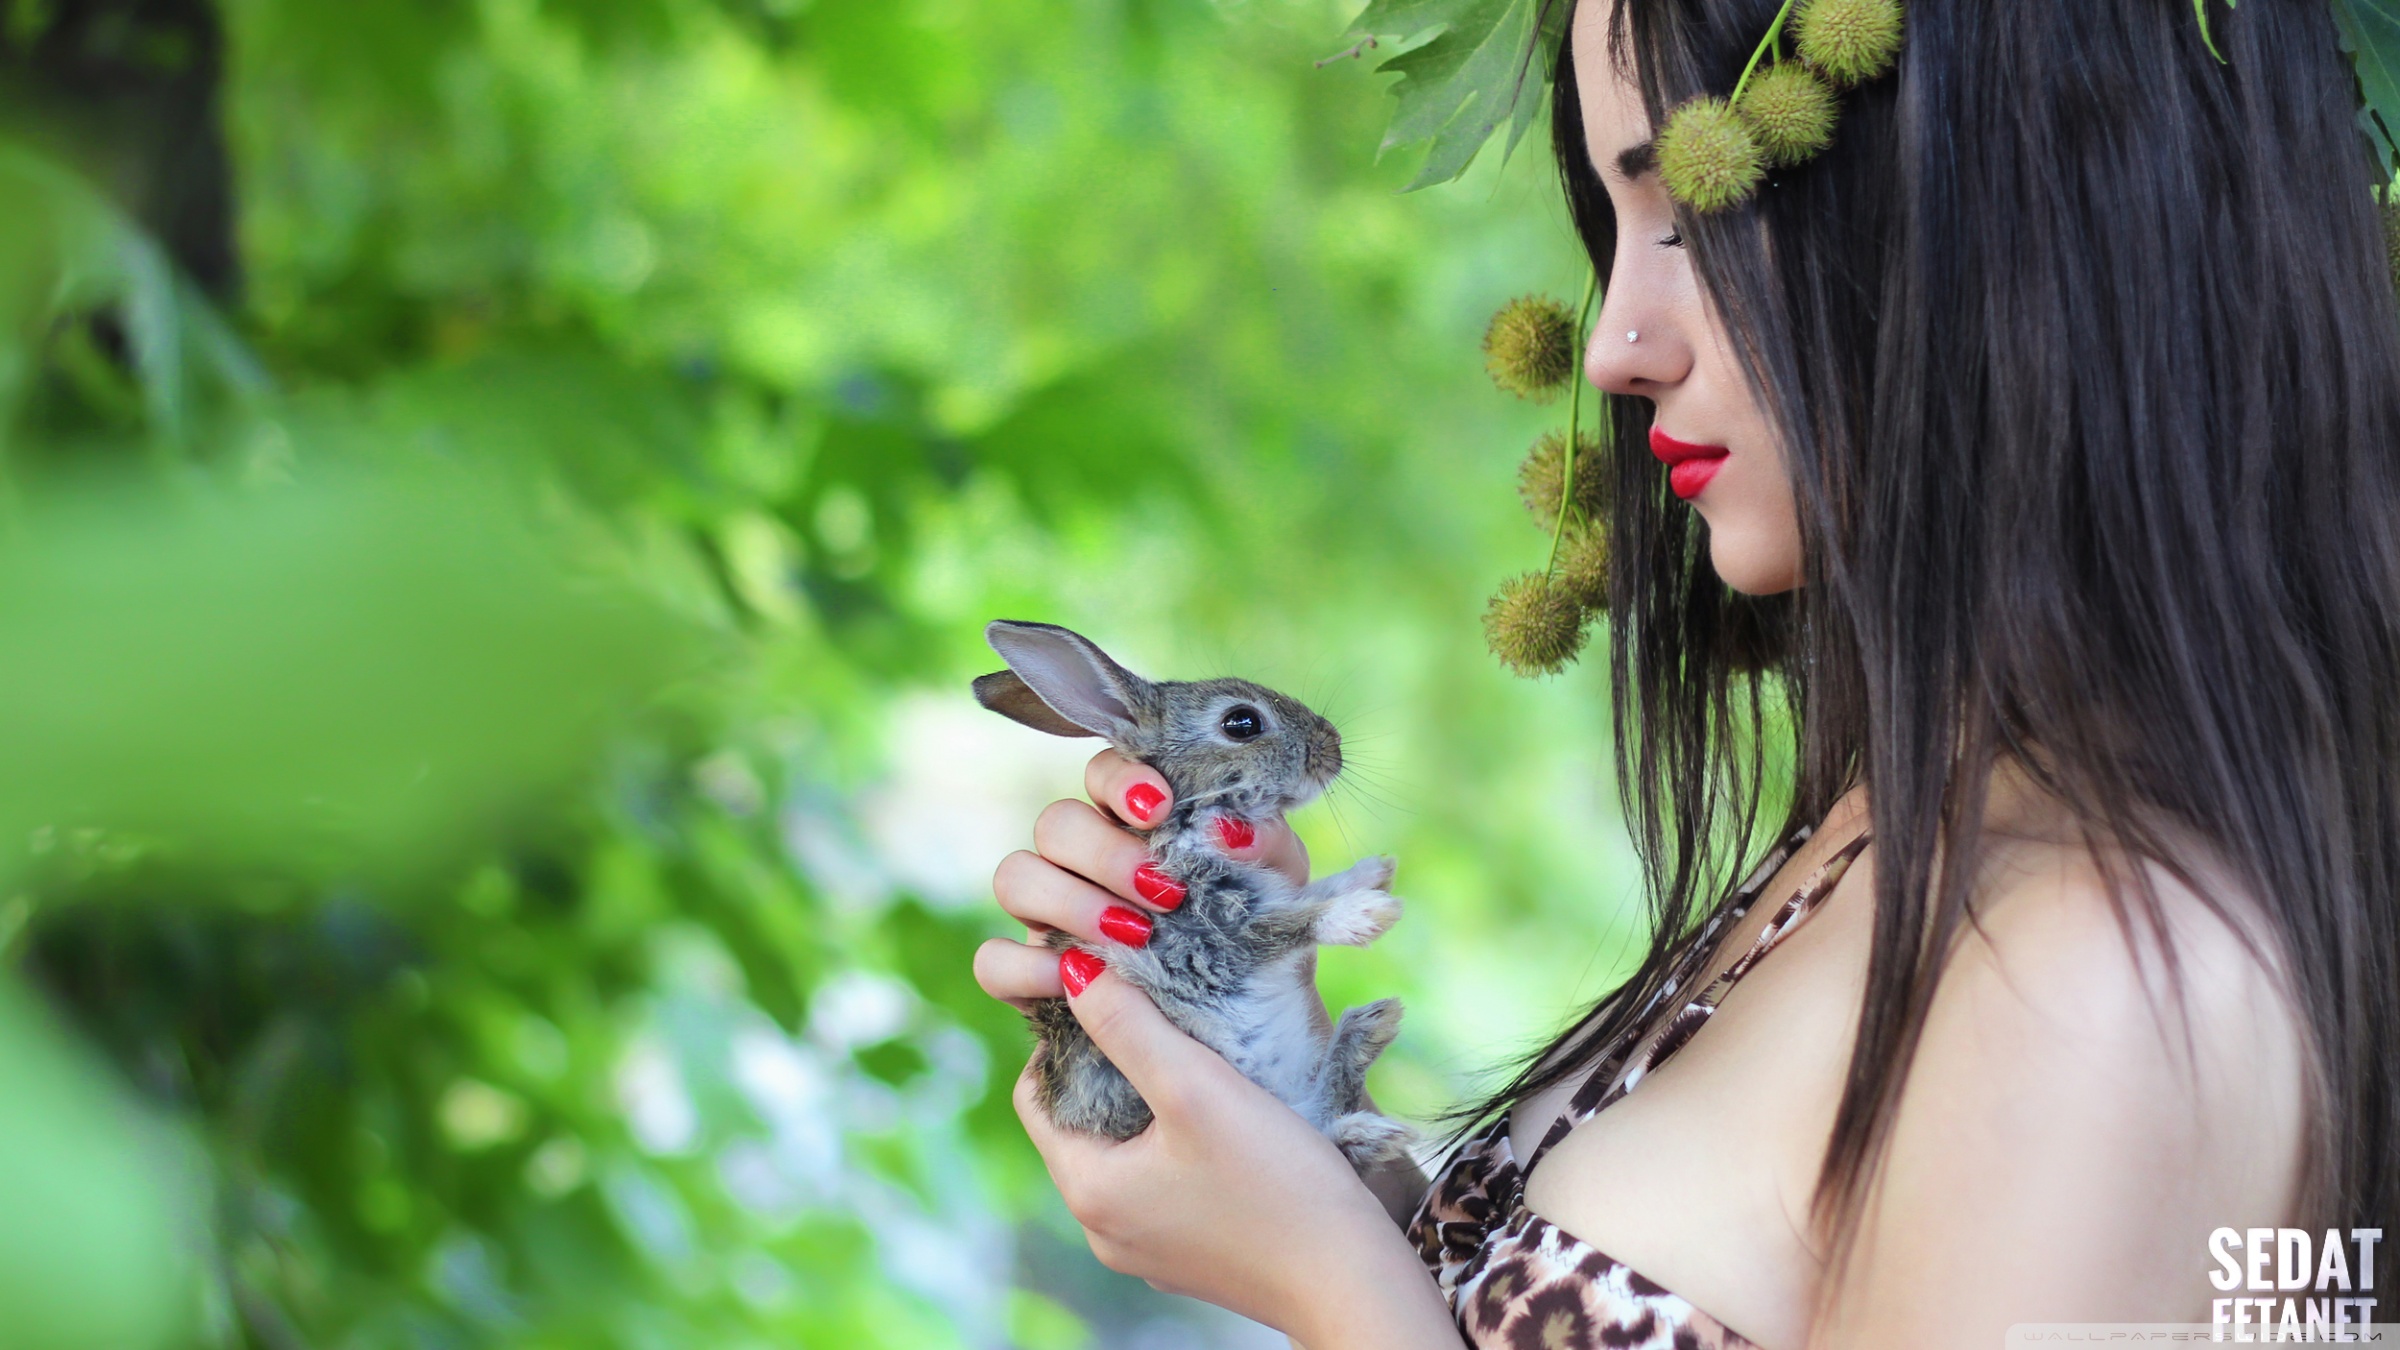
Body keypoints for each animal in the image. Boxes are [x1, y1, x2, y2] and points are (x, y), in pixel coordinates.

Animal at [972, 619, 1416, 1171]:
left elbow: (1300, 895)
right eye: (1242, 723)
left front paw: (1375, 871)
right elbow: (1280, 927)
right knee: (1322, 1130)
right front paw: (1363, 913)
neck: (1192, 814)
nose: (1333, 747)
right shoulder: (1202, 935)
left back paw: (1368, 1037)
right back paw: (1367, 1100)